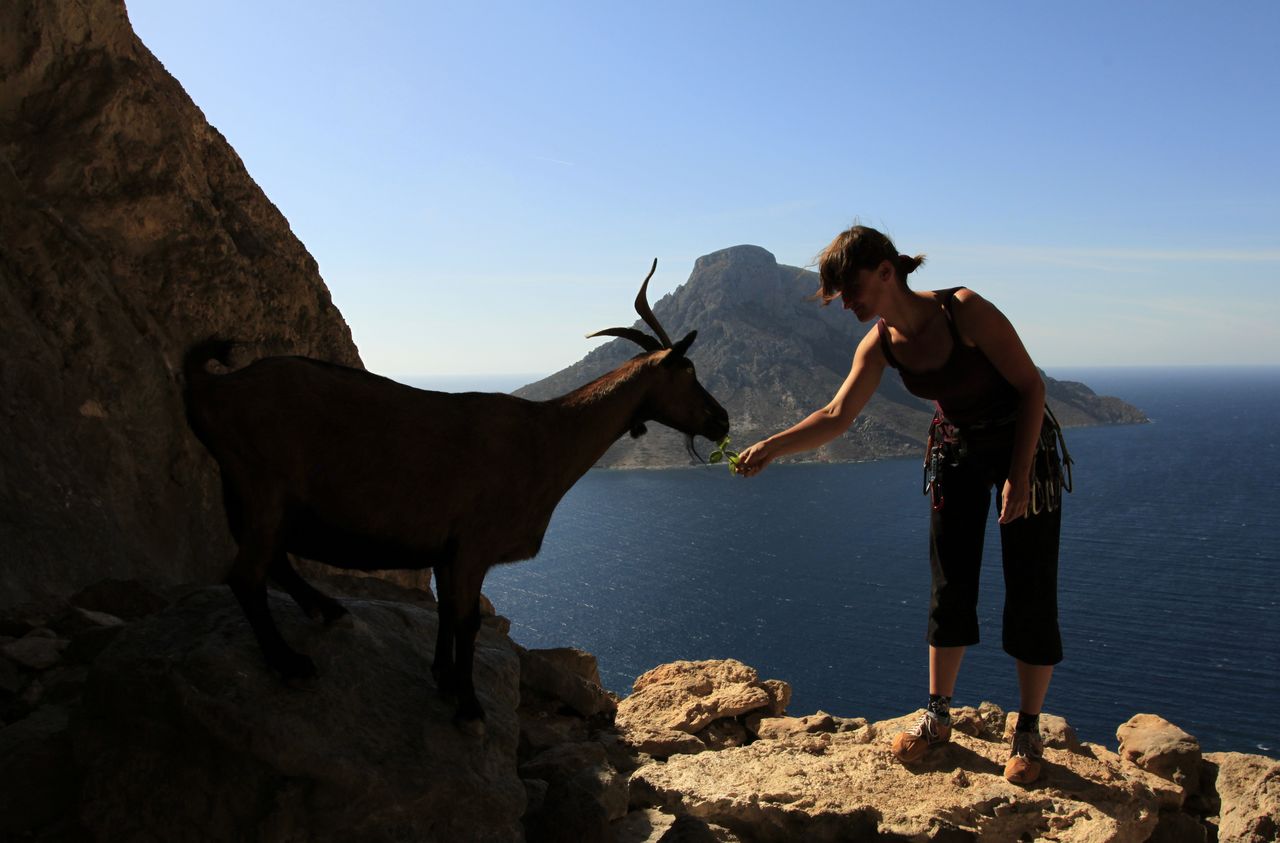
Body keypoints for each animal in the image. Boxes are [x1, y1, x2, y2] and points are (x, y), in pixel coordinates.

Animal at [186, 263, 737, 731]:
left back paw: (325, 609)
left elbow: (448, 613)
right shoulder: (474, 544)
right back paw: (289, 662)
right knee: (247, 574)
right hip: (263, 486)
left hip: (250, 493)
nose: (722, 419)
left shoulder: (446, 550)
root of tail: (214, 390)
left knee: (273, 563)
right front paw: (469, 706)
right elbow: (468, 621)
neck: (544, 438)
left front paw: (445, 680)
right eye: (687, 372)